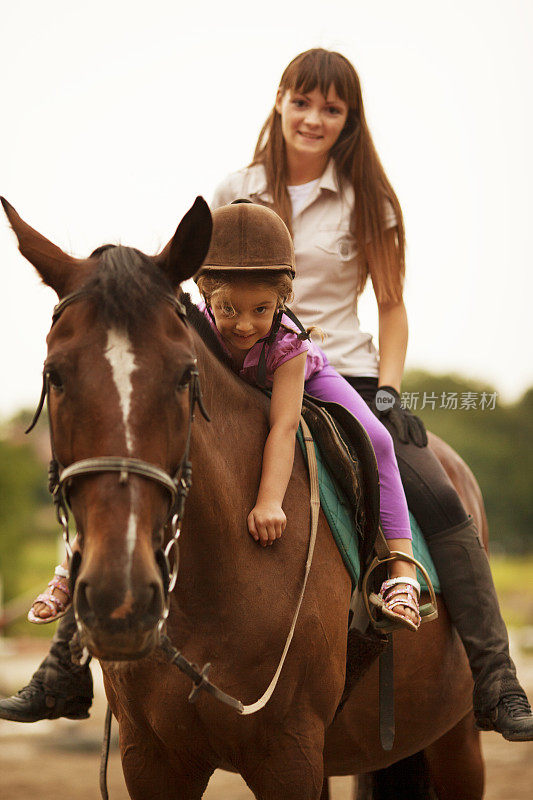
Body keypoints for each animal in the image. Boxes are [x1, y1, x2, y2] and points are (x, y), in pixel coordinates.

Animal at [2, 195, 482, 800]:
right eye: (55, 375)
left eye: (184, 376)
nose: (121, 600)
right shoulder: (152, 758)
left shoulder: (289, 756)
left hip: (455, 740)